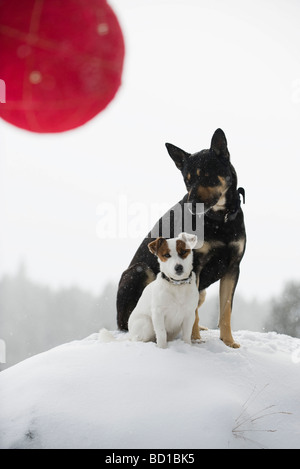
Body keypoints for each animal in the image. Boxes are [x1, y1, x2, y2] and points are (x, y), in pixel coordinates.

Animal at [117, 128, 246, 348]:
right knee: (129, 322)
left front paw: (228, 342)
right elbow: (192, 313)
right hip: (138, 272)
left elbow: (226, 310)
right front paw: (194, 339)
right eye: (187, 180)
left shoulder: (233, 267)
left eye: (207, 176)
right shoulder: (196, 265)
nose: (192, 204)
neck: (220, 219)